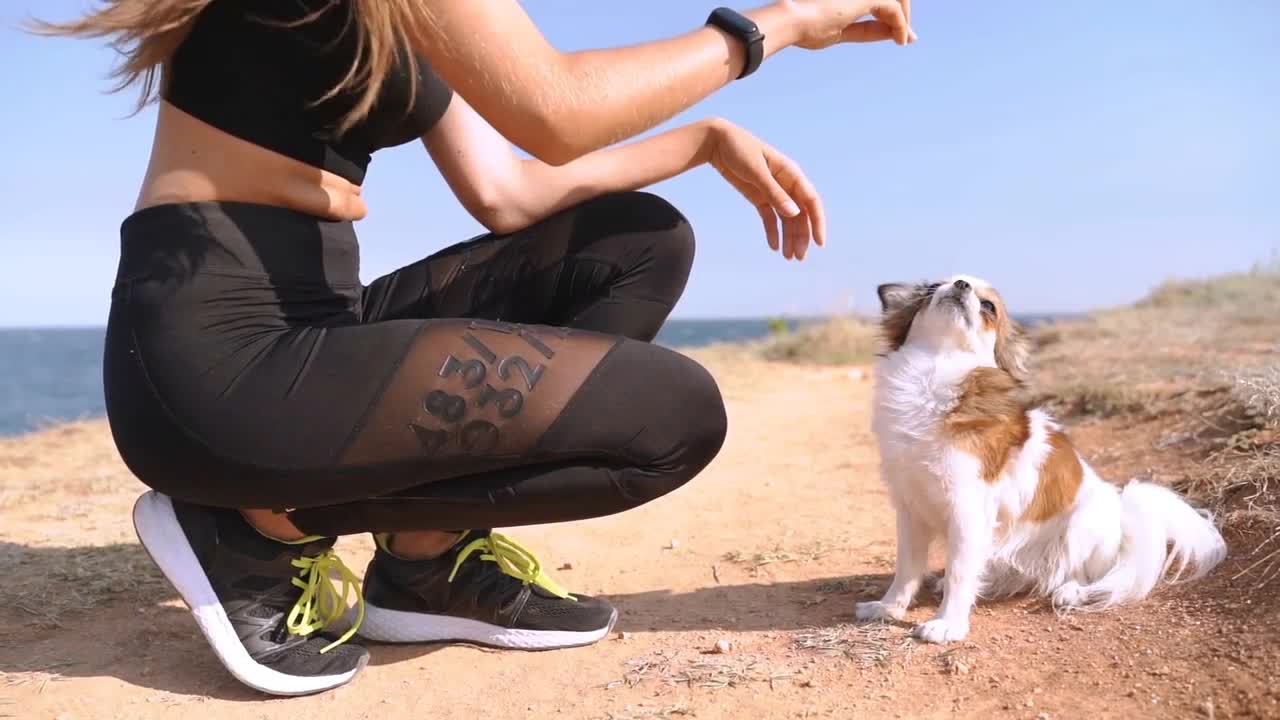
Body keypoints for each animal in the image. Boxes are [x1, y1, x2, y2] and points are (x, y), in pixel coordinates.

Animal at [855, 272, 1223, 638]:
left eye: (988, 306)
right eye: (933, 288)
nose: (961, 284)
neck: (932, 371)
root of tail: (1122, 510)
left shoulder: (967, 509)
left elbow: (960, 570)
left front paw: (948, 625)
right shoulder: (910, 508)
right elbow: (906, 568)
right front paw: (889, 608)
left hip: (1081, 528)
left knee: (1082, 575)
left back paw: (1071, 592)